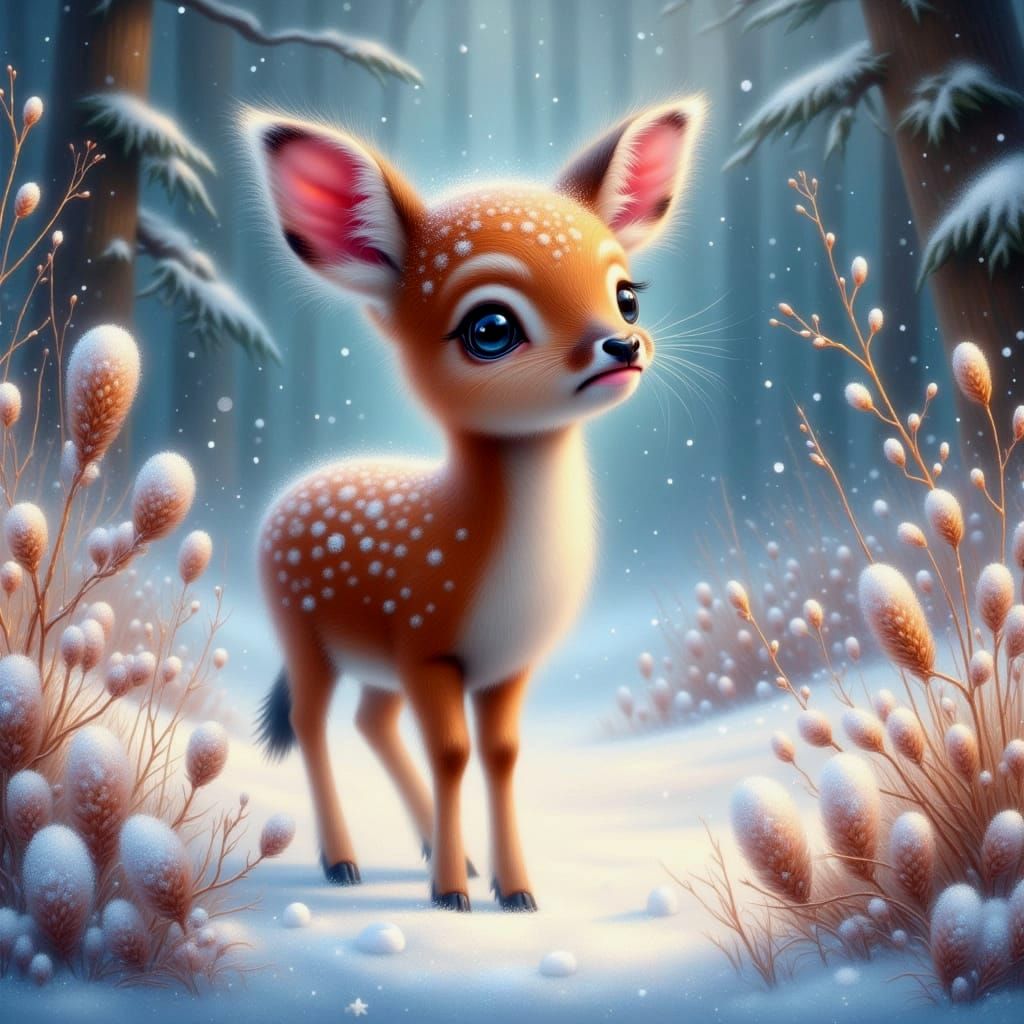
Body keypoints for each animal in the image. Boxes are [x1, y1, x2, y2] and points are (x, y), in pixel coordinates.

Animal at [247, 97, 705, 912]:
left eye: (626, 294)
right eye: (489, 328)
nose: (621, 345)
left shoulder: (505, 662)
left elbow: (499, 754)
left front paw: (512, 888)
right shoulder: (427, 640)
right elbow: (453, 752)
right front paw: (452, 897)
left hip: (373, 655)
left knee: (371, 719)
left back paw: (437, 848)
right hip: (301, 624)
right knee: (311, 720)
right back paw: (345, 860)